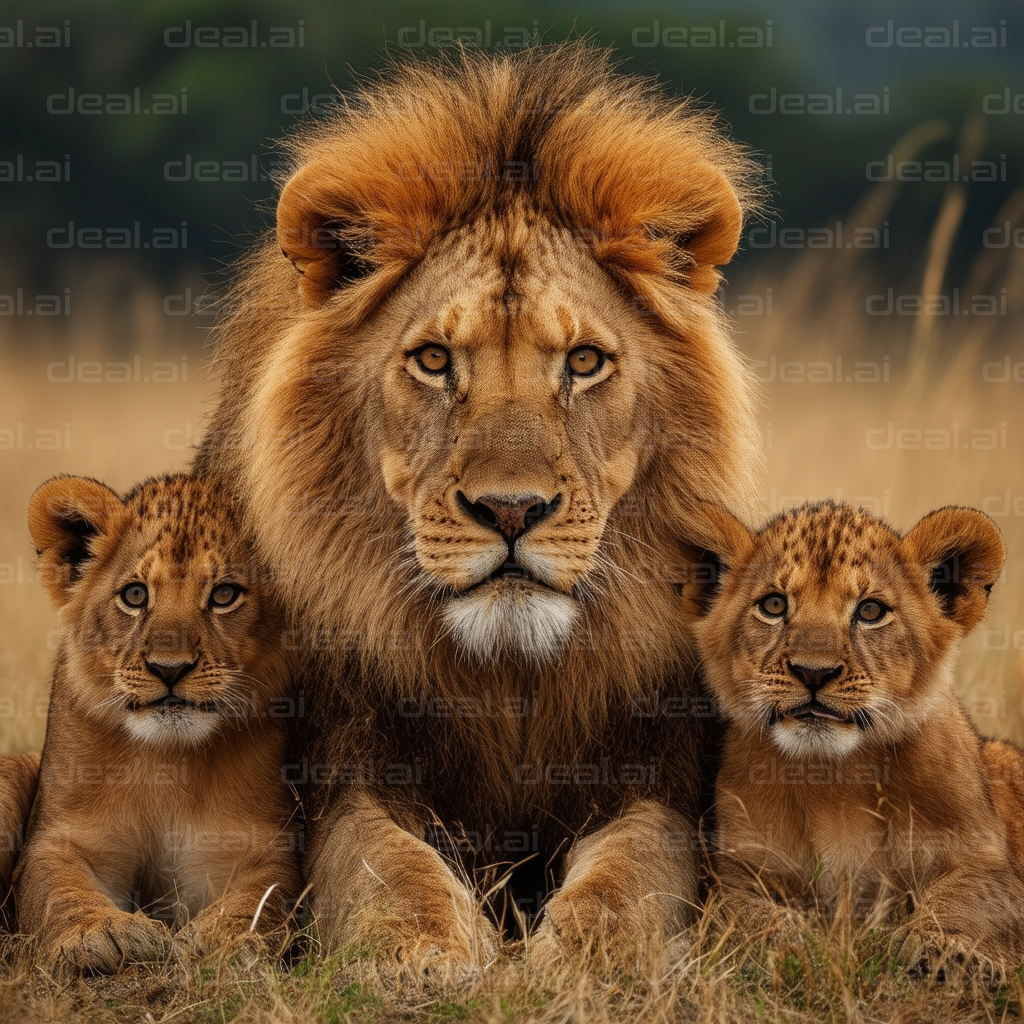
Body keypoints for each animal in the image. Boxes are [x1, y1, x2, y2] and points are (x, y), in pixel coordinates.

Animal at [16, 471, 299, 966]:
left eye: (224, 594)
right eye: (135, 595)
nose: (170, 669)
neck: (166, 762)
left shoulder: (259, 848)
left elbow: (261, 898)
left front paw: (221, 938)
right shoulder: (61, 840)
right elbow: (58, 889)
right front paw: (100, 933)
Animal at [195, 39, 765, 966]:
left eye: (582, 362)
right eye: (433, 360)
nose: (510, 510)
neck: (510, 679)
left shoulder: (659, 780)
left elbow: (629, 875)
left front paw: (581, 958)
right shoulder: (346, 773)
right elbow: (391, 868)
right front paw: (424, 953)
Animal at [679, 503, 1024, 974]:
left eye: (871, 611)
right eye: (773, 605)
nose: (814, 673)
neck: (836, 778)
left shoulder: (987, 862)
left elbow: (971, 899)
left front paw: (941, 950)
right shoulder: (734, 868)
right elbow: (741, 912)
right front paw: (800, 946)